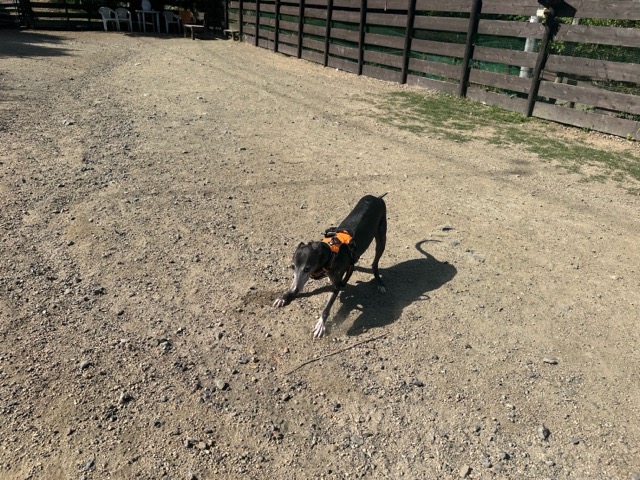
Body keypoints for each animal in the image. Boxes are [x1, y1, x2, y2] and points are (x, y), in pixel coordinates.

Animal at [273, 194, 387, 337]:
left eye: (307, 268)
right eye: (292, 267)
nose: (294, 291)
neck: (329, 252)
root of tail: (377, 197)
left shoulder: (337, 283)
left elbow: (328, 304)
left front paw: (321, 323)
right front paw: (284, 296)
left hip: (381, 239)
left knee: (375, 263)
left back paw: (380, 282)